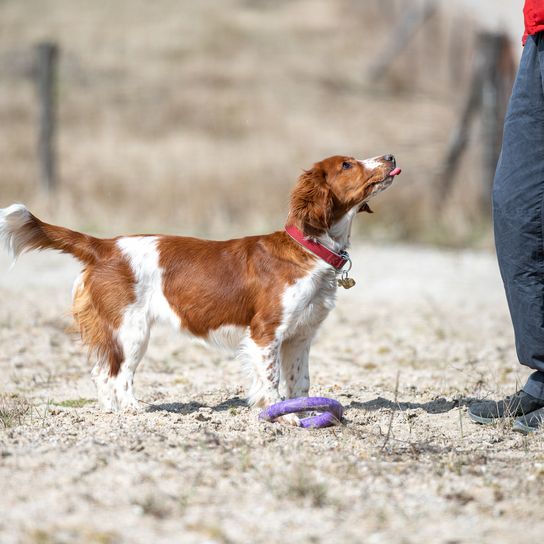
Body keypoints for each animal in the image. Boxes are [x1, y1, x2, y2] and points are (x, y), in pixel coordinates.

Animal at [0, 155, 400, 422]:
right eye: (346, 165)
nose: (390, 157)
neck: (309, 248)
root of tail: (105, 245)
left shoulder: (300, 337)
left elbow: (299, 384)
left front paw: (302, 413)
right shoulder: (265, 334)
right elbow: (272, 385)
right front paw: (282, 418)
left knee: (102, 373)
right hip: (131, 330)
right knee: (118, 375)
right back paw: (134, 412)